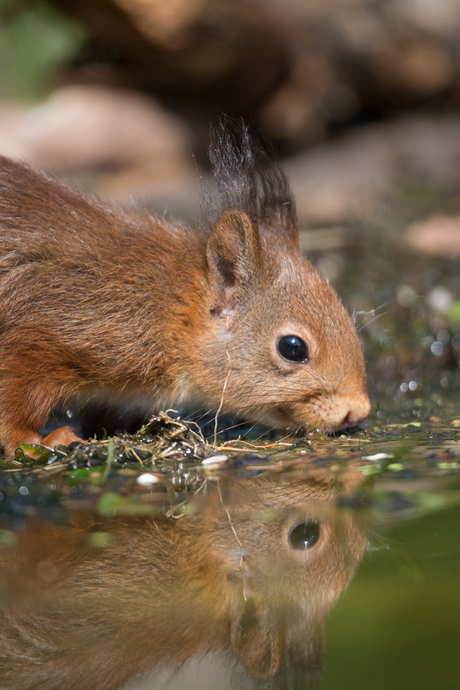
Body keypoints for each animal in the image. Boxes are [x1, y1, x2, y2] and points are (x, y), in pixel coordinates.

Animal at [0, 126, 370, 454]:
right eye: (293, 348)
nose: (358, 412)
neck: (163, 306)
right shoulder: (44, 326)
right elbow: (16, 394)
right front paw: (38, 441)